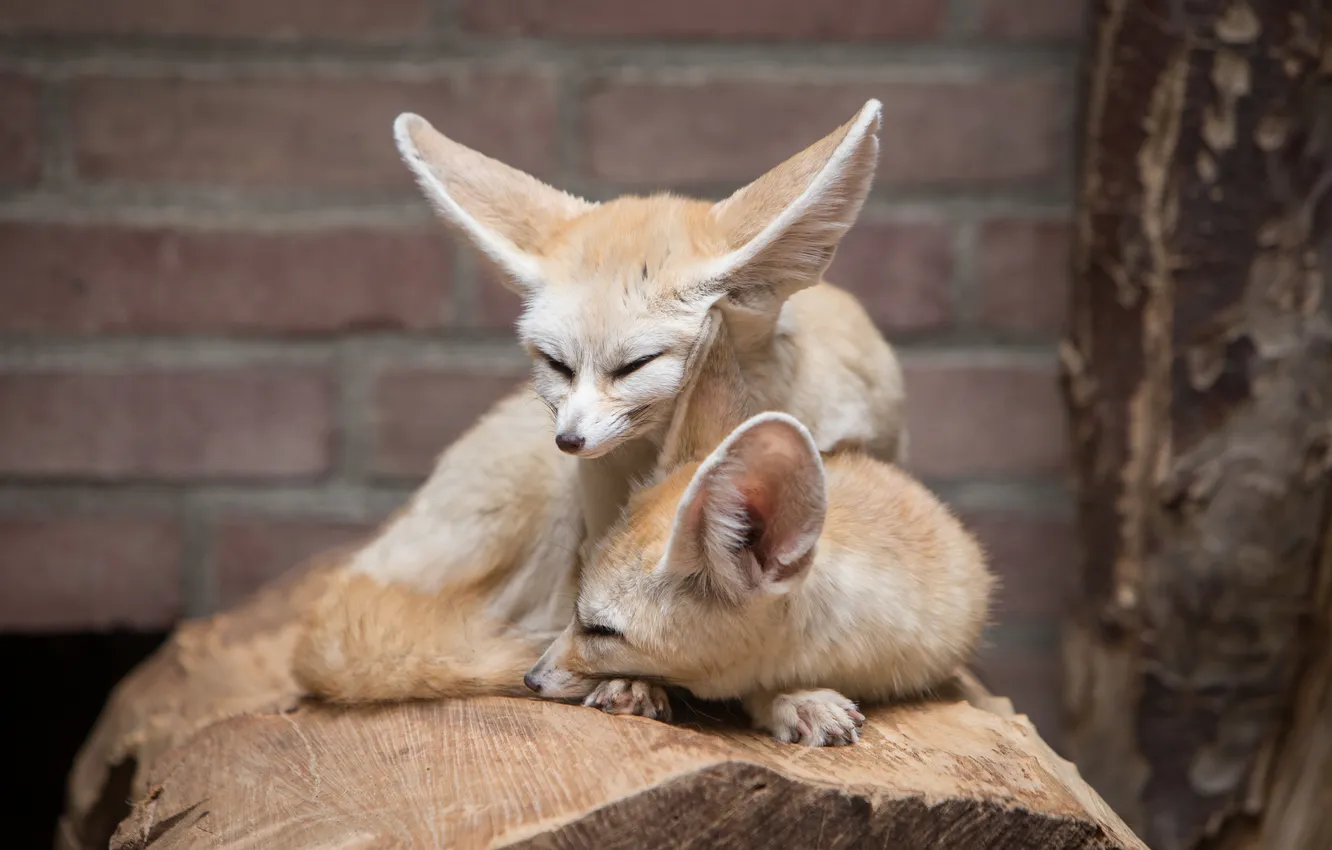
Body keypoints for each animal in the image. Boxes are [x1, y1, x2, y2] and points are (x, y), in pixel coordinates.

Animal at [295, 100, 909, 703]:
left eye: (634, 365)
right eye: (556, 364)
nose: (569, 440)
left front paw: (796, 695)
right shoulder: (599, 516)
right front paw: (629, 676)